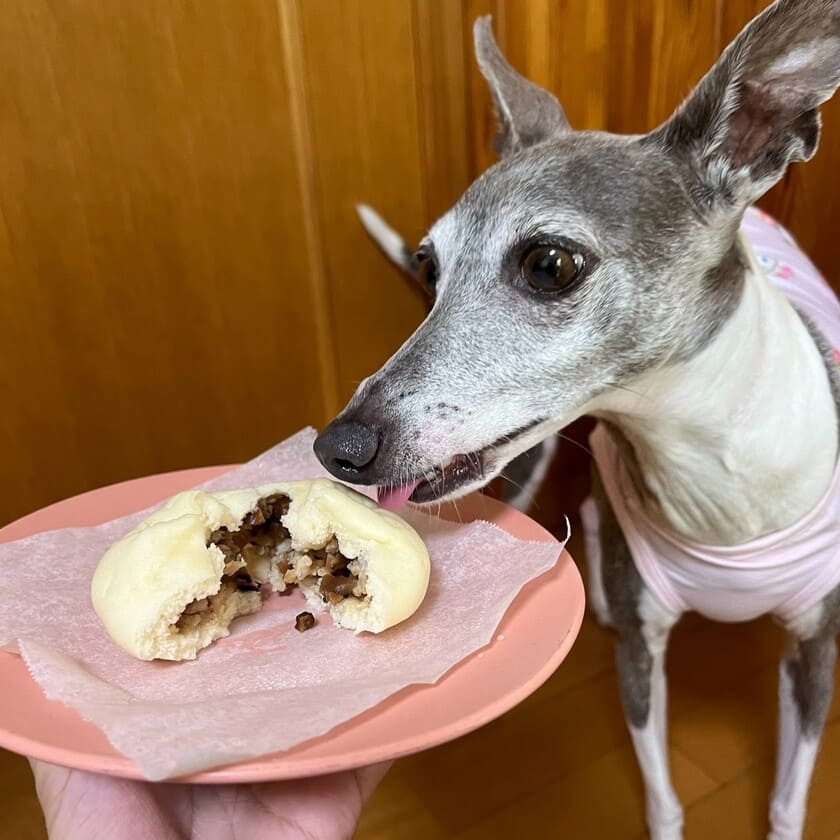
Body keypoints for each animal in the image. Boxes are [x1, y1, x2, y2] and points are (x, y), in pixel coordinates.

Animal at [312, 3, 840, 836]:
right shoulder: (641, 660)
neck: (723, 490)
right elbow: (662, 799)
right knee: (590, 505)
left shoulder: (815, 650)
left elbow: (789, 798)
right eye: (430, 267)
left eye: (549, 264)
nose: (340, 446)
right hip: (527, 468)